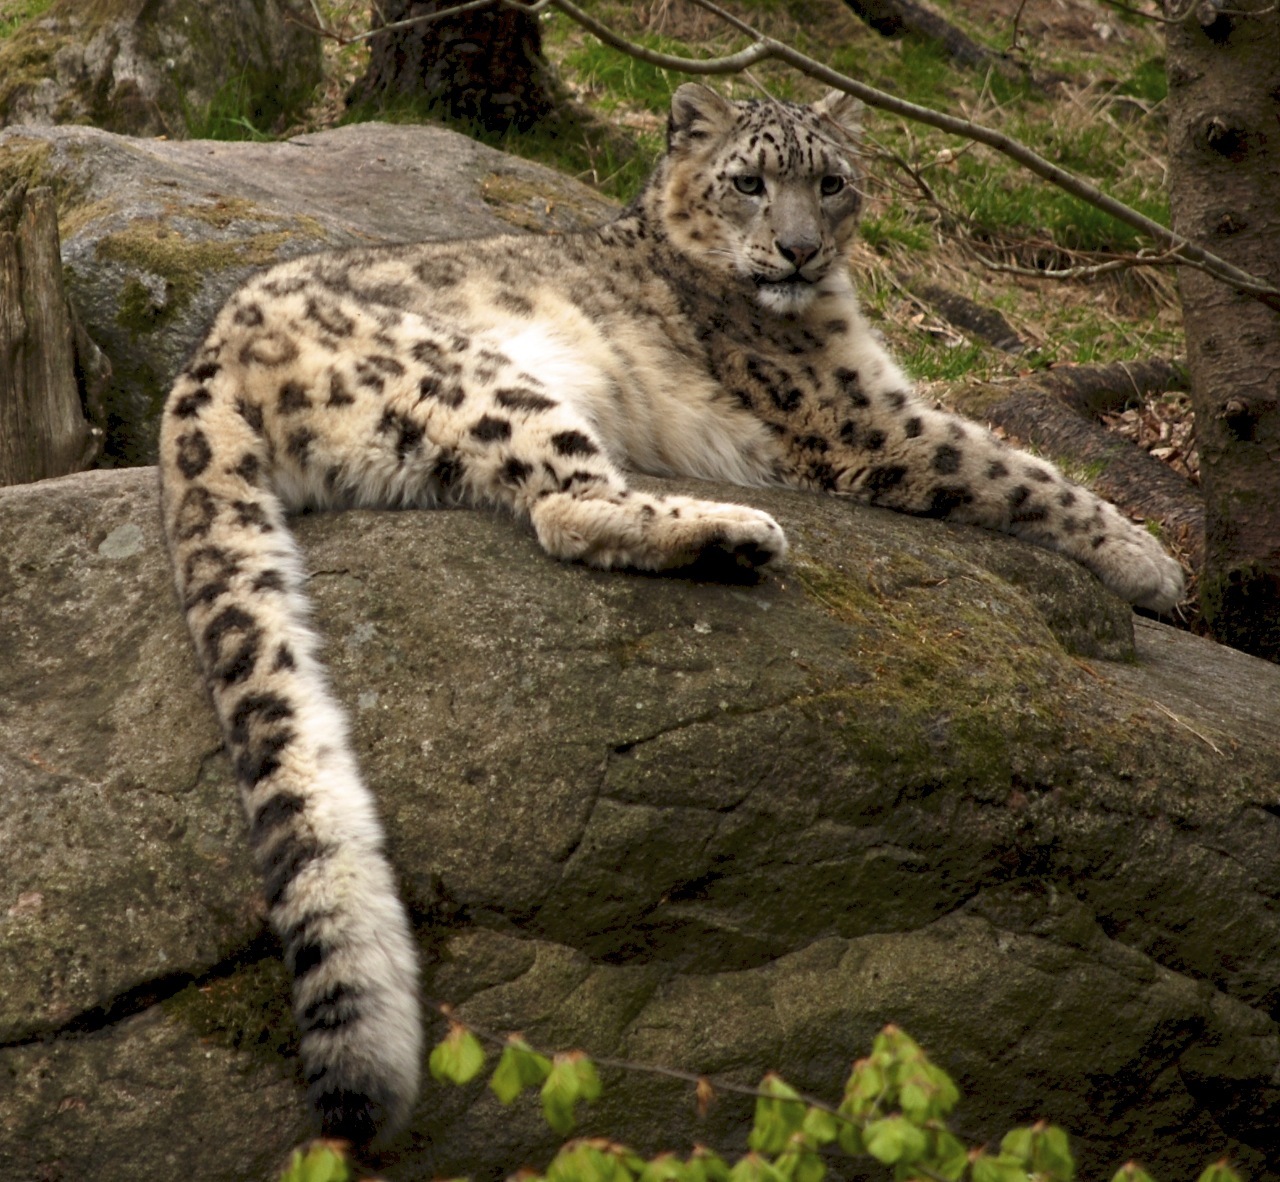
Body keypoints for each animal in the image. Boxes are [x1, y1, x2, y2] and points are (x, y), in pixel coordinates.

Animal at [160, 83, 1187, 1147]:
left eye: (832, 182)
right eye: (749, 182)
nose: (800, 250)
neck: (829, 315)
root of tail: (207, 356)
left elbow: (1002, 453)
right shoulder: (862, 419)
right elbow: (1006, 465)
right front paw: (1147, 560)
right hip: (482, 382)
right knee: (565, 505)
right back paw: (738, 534)